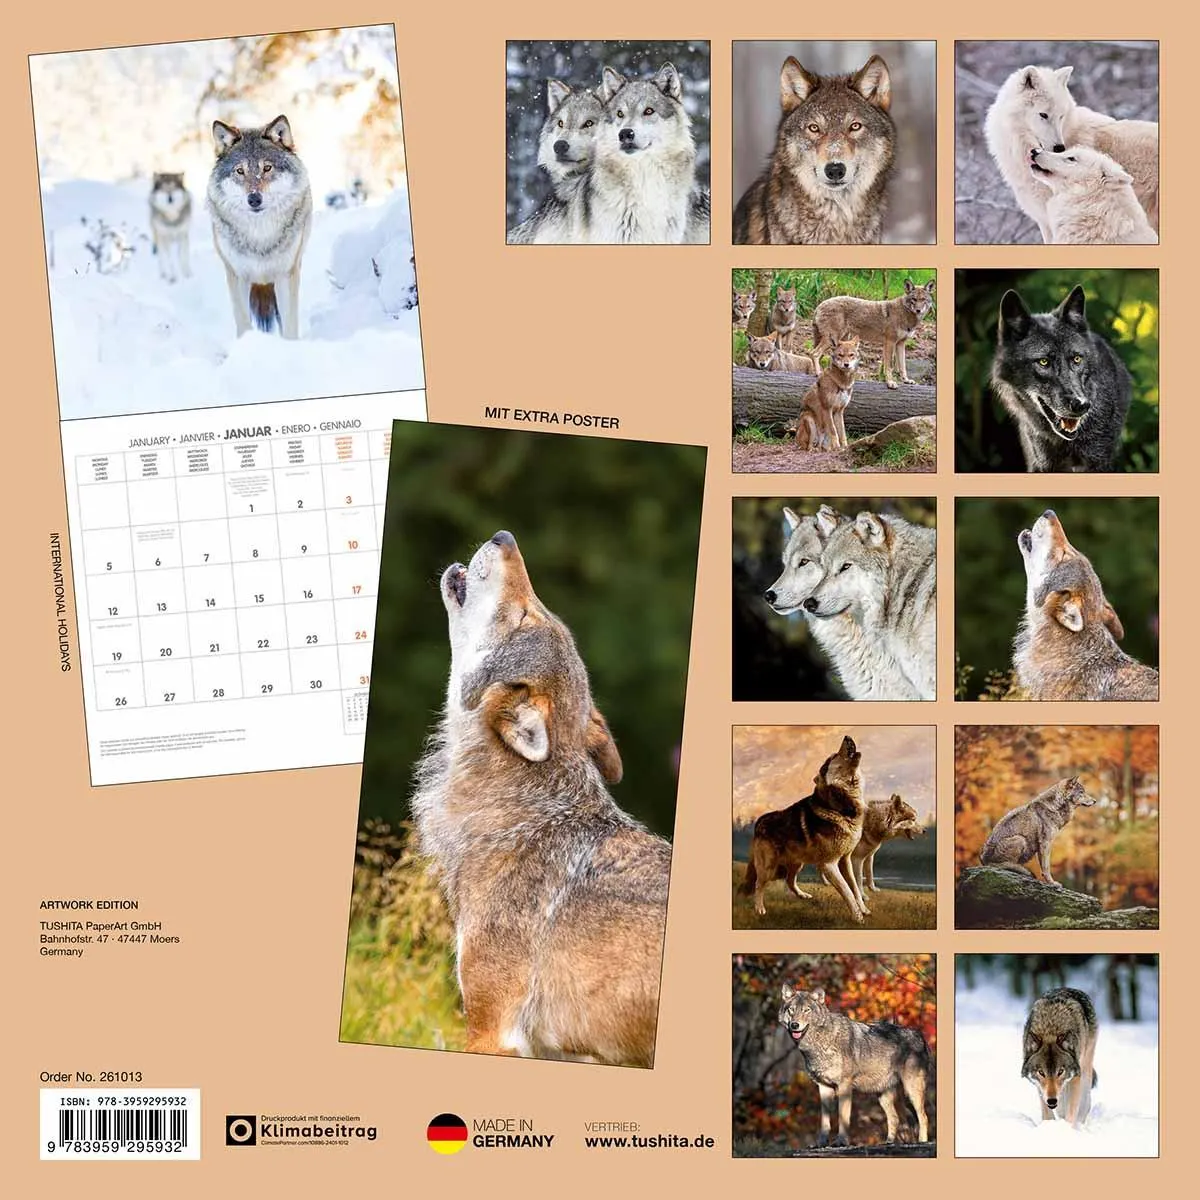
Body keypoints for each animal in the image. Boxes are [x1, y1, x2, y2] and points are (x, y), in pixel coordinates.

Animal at [207, 115, 312, 339]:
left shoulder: (286, 274)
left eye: (267, 168)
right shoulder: (237, 276)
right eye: (240, 171)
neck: (260, 236)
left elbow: (289, 325)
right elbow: (243, 322)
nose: (254, 199)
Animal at [739, 735, 868, 921]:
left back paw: (803, 895)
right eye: (833, 757)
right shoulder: (829, 865)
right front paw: (858, 918)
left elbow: (855, 888)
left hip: (797, 863)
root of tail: (759, 821)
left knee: (790, 881)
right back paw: (759, 908)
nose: (847, 737)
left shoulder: (845, 859)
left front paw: (864, 910)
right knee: (759, 884)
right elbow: (847, 891)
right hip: (769, 869)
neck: (841, 808)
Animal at [778, 983, 932, 1146]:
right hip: (884, 1095)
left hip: (911, 1091)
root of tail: (919, 1035)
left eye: (806, 1010)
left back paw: (922, 1141)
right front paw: (821, 1142)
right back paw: (888, 1142)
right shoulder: (823, 1087)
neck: (818, 1044)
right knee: (895, 1118)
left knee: (923, 1117)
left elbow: (843, 1118)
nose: (795, 1025)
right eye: (791, 1010)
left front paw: (841, 1141)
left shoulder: (845, 1086)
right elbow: (825, 1121)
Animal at [1023, 987, 1099, 1128]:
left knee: (1084, 1101)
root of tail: (1069, 988)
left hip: (1086, 1066)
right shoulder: (1040, 1086)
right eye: (1041, 1072)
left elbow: (1071, 1111)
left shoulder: (1075, 1076)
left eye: (1060, 1071)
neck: (1050, 1029)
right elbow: (1047, 1114)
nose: (1052, 1101)